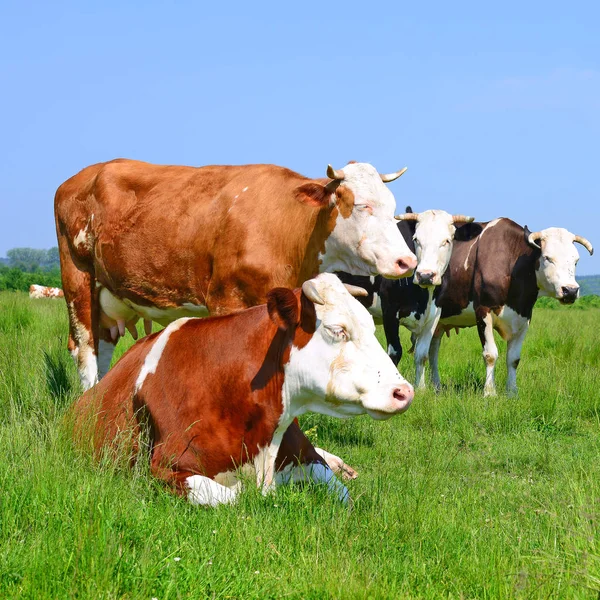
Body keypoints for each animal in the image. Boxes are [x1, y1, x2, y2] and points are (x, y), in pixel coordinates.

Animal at [56, 156, 418, 482]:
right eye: (362, 206)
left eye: (392, 208)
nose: (408, 261)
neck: (290, 227)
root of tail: (81, 176)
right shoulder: (226, 300)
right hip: (78, 280)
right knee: (86, 353)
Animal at [72, 276, 414, 506]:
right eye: (337, 330)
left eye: (371, 326)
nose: (404, 392)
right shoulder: (162, 468)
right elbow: (234, 497)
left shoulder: (302, 452)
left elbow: (343, 494)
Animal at [422, 218, 596, 396]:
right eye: (547, 258)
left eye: (576, 261)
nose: (571, 290)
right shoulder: (483, 311)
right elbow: (490, 354)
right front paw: (490, 392)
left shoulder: (524, 317)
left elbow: (513, 358)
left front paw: (512, 392)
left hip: (439, 322)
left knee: (432, 350)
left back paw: (436, 387)